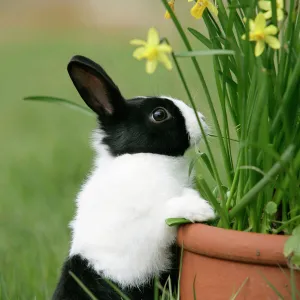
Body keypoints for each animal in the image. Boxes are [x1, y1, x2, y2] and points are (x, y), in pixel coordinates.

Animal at [52, 55, 216, 298]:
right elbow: (165, 214)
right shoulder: (144, 229)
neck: (141, 156)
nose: (203, 119)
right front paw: (202, 209)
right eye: (159, 114)